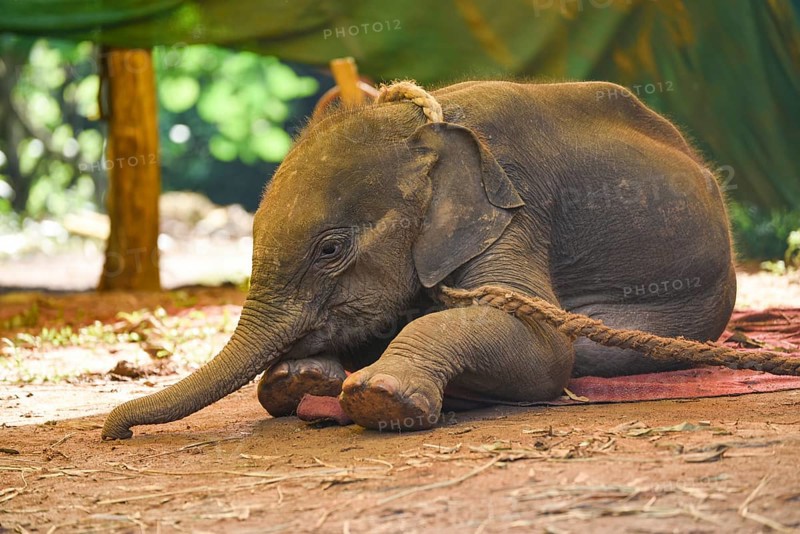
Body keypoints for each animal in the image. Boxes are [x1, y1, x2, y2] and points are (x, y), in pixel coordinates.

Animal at [102, 80, 736, 440]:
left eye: (330, 250)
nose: (115, 432)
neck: (422, 133)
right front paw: (296, 381)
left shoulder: (514, 208)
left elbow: (545, 345)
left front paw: (380, 396)